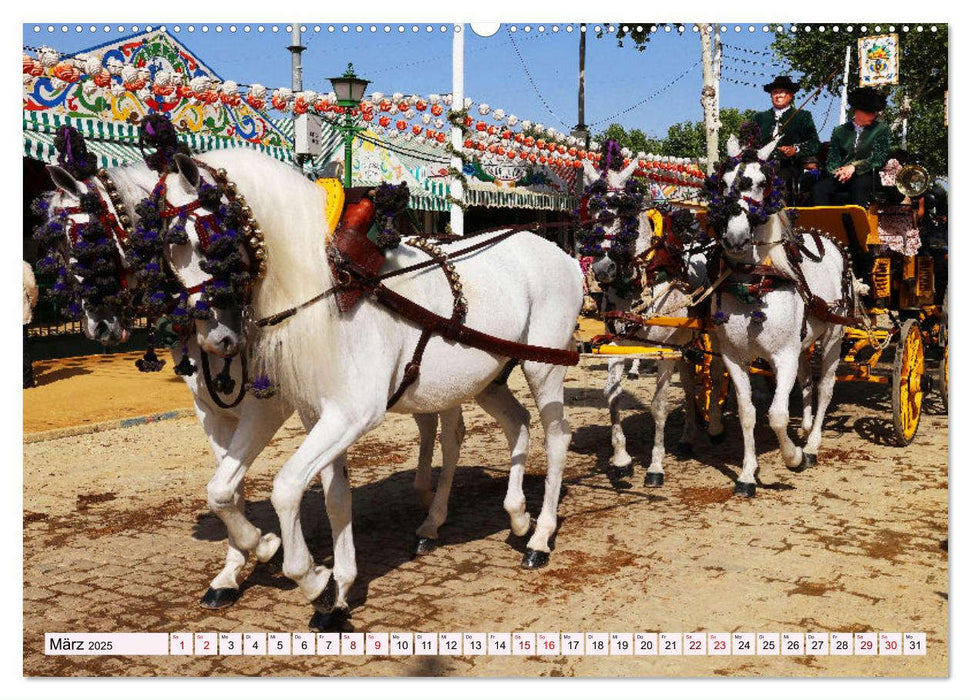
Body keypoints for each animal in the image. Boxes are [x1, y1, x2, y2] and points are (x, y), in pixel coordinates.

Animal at [580, 159, 724, 486]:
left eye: (627, 210)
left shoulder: (664, 352)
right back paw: (688, 436)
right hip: (685, 346)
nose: (603, 268)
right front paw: (621, 460)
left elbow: (659, 406)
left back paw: (714, 427)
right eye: (592, 209)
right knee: (689, 384)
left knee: (717, 374)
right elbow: (612, 396)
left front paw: (656, 466)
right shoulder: (620, 344)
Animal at [712, 135, 856, 498]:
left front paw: (794, 457)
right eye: (723, 182)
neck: (755, 282)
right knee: (806, 380)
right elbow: (748, 413)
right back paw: (804, 426)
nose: (734, 237)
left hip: (833, 337)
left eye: (761, 183)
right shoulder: (733, 356)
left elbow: (777, 414)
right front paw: (747, 474)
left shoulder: (784, 355)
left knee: (825, 388)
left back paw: (813, 444)